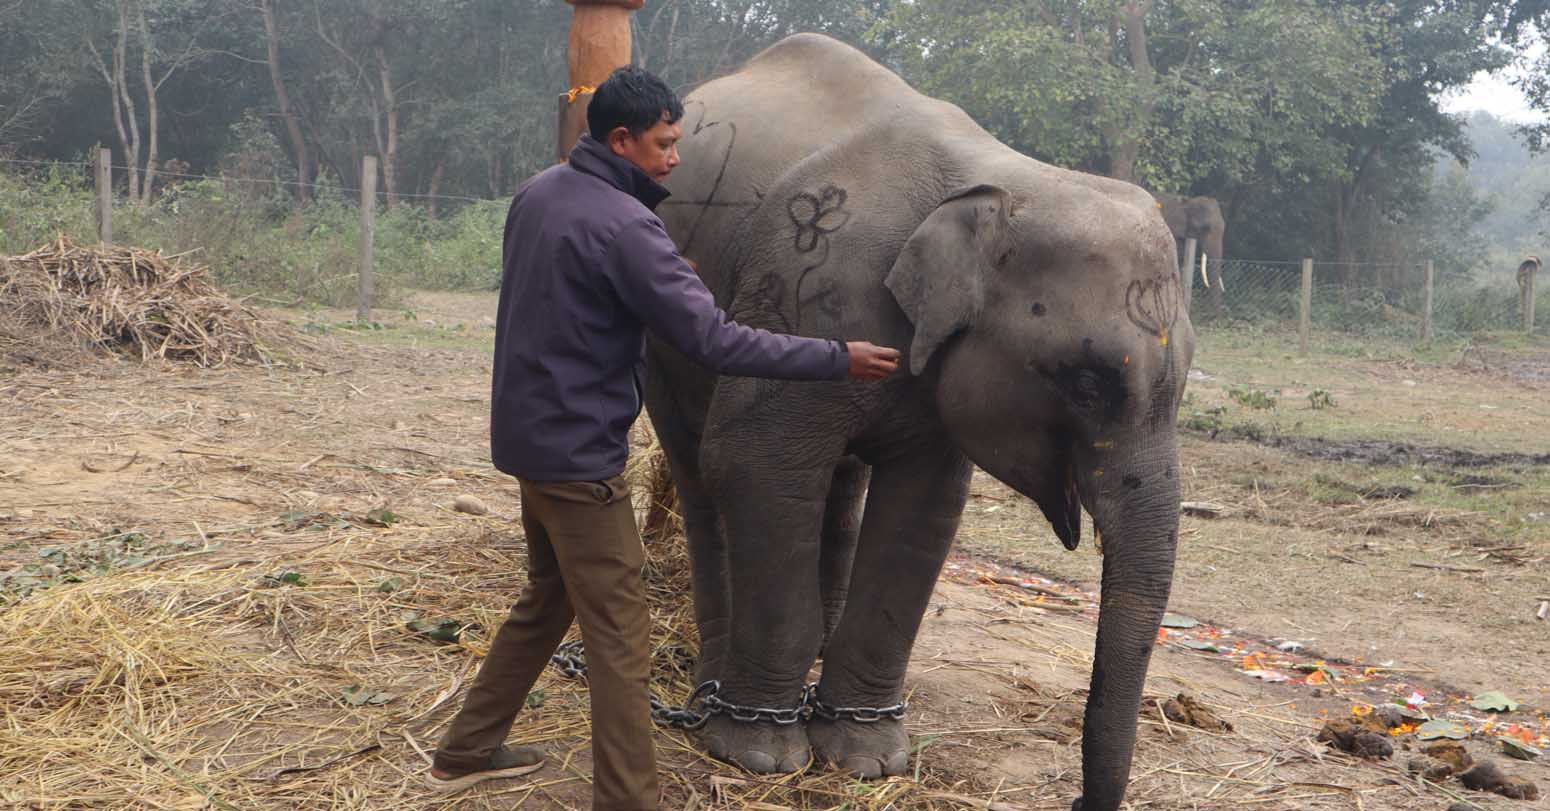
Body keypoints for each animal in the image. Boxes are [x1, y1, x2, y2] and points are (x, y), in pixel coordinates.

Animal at [647, 33, 1190, 811]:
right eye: (1089, 382)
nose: (1076, 800)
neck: (1001, 176)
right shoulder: (802, 288)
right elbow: (754, 463)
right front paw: (764, 756)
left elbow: (922, 506)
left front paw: (866, 758)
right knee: (699, 468)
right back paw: (714, 689)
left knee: (837, 483)